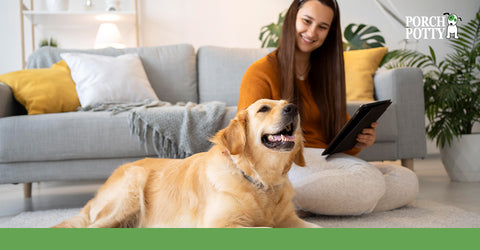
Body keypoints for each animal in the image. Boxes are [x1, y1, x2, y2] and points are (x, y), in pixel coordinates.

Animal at [53, 98, 318, 228]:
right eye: (263, 108)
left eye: (286, 102)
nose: (293, 108)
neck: (261, 181)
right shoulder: (219, 225)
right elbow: (266, 229)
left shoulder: (290, 219)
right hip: (131, 186)